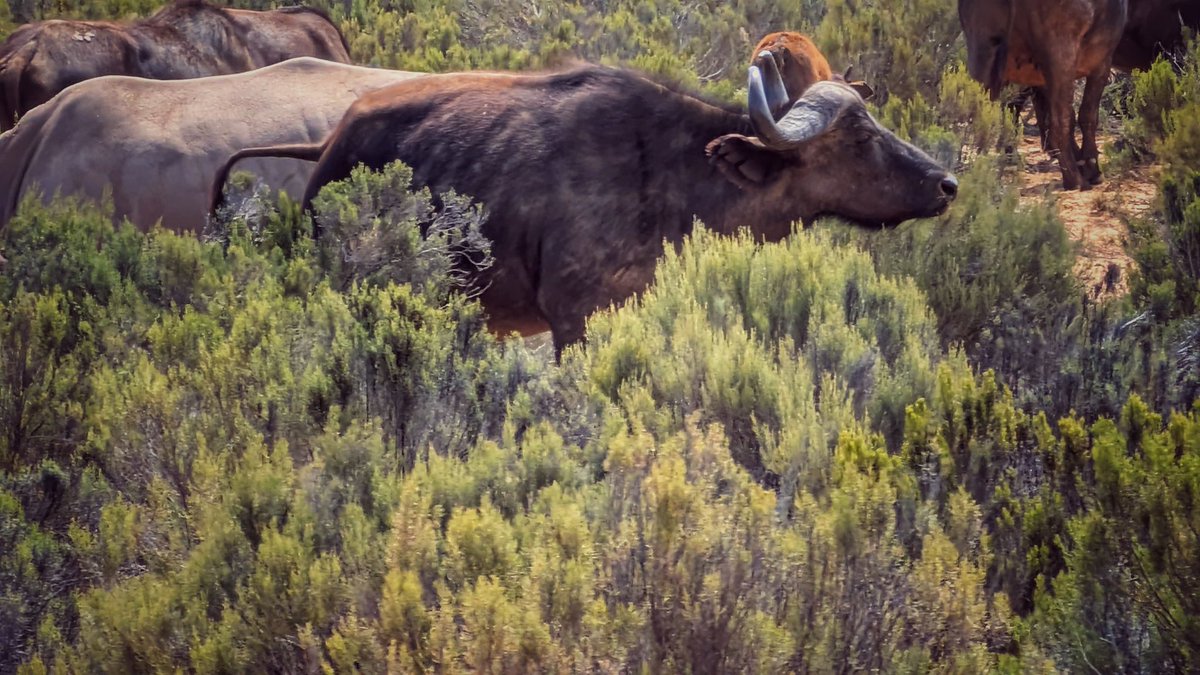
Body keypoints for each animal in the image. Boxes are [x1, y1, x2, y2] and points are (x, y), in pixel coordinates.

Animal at [959, 0, 1127, 190]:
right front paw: (1092, 168)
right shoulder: (1101, 64)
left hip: (982, 54)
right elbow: (1087, 117)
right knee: (1059, 123)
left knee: (981, 118)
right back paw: (1074, 180)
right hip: (1061, 59)